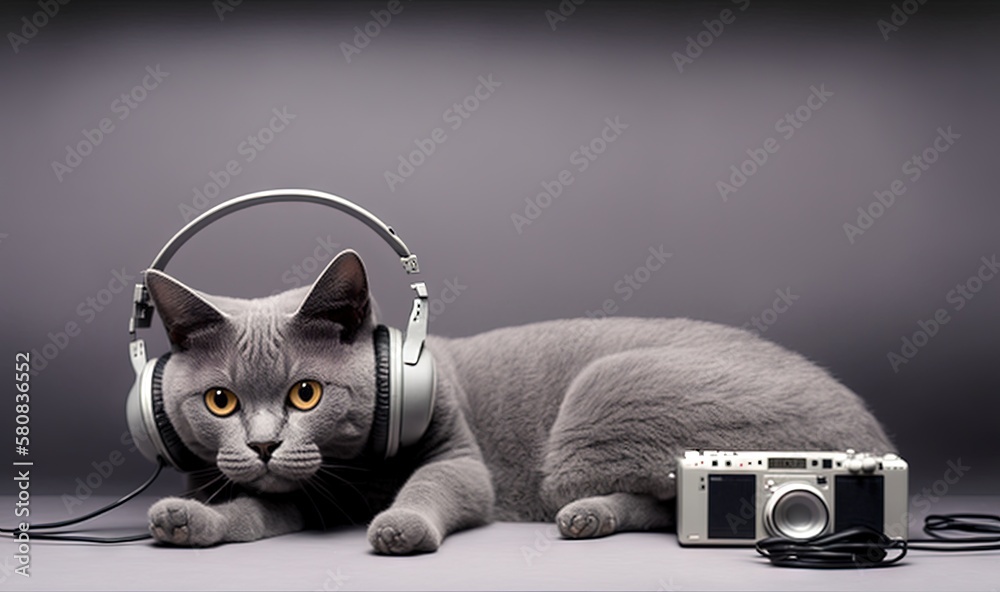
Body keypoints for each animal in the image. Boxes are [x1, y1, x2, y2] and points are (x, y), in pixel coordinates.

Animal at [141, 250, 892, 556]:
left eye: (306, 393)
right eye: (220, 401)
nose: (265, 444)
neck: (350, 478)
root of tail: (874, 429)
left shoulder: (459, 458)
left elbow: (436, 485)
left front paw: (399, 526)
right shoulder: (299, 496)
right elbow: (251, 512)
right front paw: (186, 520)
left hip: (599, 398)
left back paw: (585, 515)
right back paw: (588, 521)